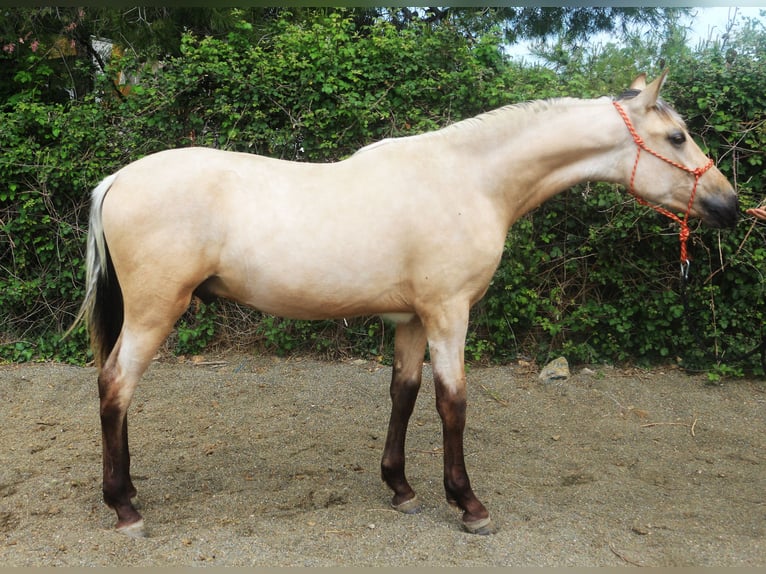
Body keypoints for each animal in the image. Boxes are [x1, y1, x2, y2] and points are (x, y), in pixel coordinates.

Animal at [70, 72, 736, 540]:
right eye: (676, 137)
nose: (729, 204)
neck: (468, 180)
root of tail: (118, 179)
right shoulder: (448, 312)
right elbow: (452, 403)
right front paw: (468, 504)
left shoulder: (414, 319)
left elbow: (405, 394)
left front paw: (401, 488)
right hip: (156, 311)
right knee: (115, 385)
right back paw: (124, 506)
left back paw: (129, 494)